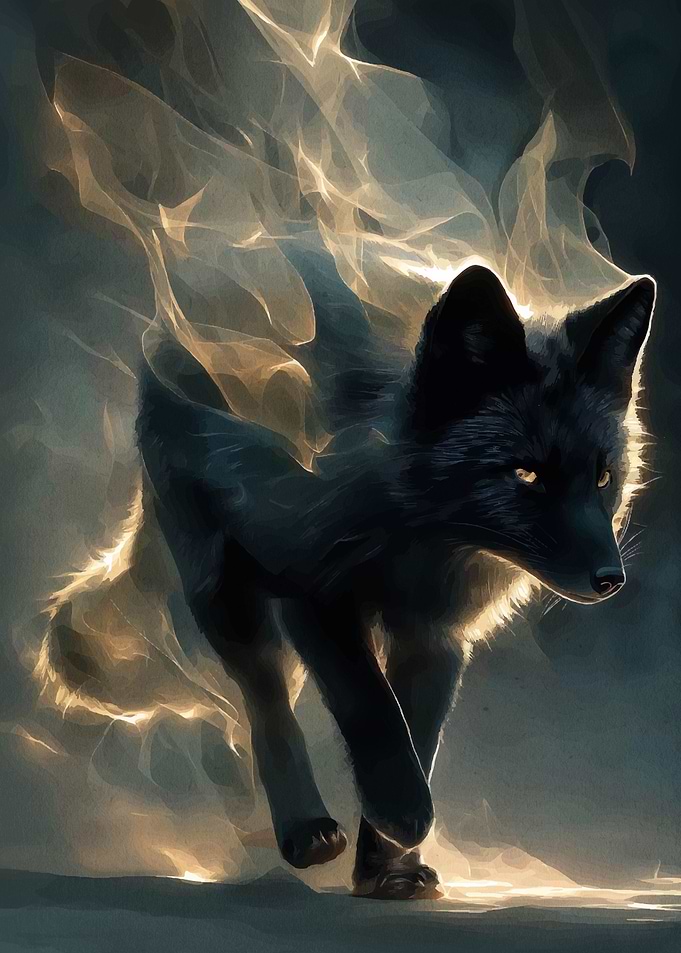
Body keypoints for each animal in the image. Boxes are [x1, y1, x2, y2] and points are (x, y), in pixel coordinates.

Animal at [42, 263, 655, 900]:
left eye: (603, 477)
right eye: (527, 474)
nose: (611, 579)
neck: (421, 532)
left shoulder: (435, 636)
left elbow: (419, 737)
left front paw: (387, 868)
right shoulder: (310, 589)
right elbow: (371, 708)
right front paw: (403, 815)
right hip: (221, 585)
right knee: (266, 702)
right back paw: (302, 829)